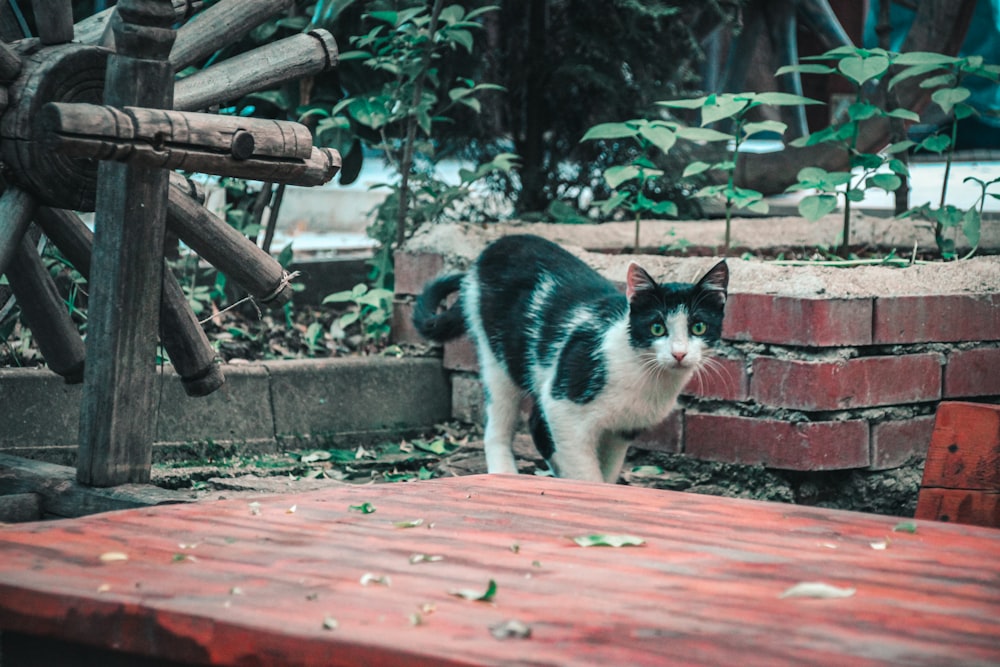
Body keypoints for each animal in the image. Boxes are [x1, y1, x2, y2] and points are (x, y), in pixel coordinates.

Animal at [410, 236, 732, 486]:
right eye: (657, 328)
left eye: (698, 327)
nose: (679, 353)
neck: (645, 374)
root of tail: (491, 249)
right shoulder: (565, 403)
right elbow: (585, 472)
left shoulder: (622, 430)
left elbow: (606, 470)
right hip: (498, 354)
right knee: (500, 417)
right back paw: (504, 472)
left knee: (536, 424)